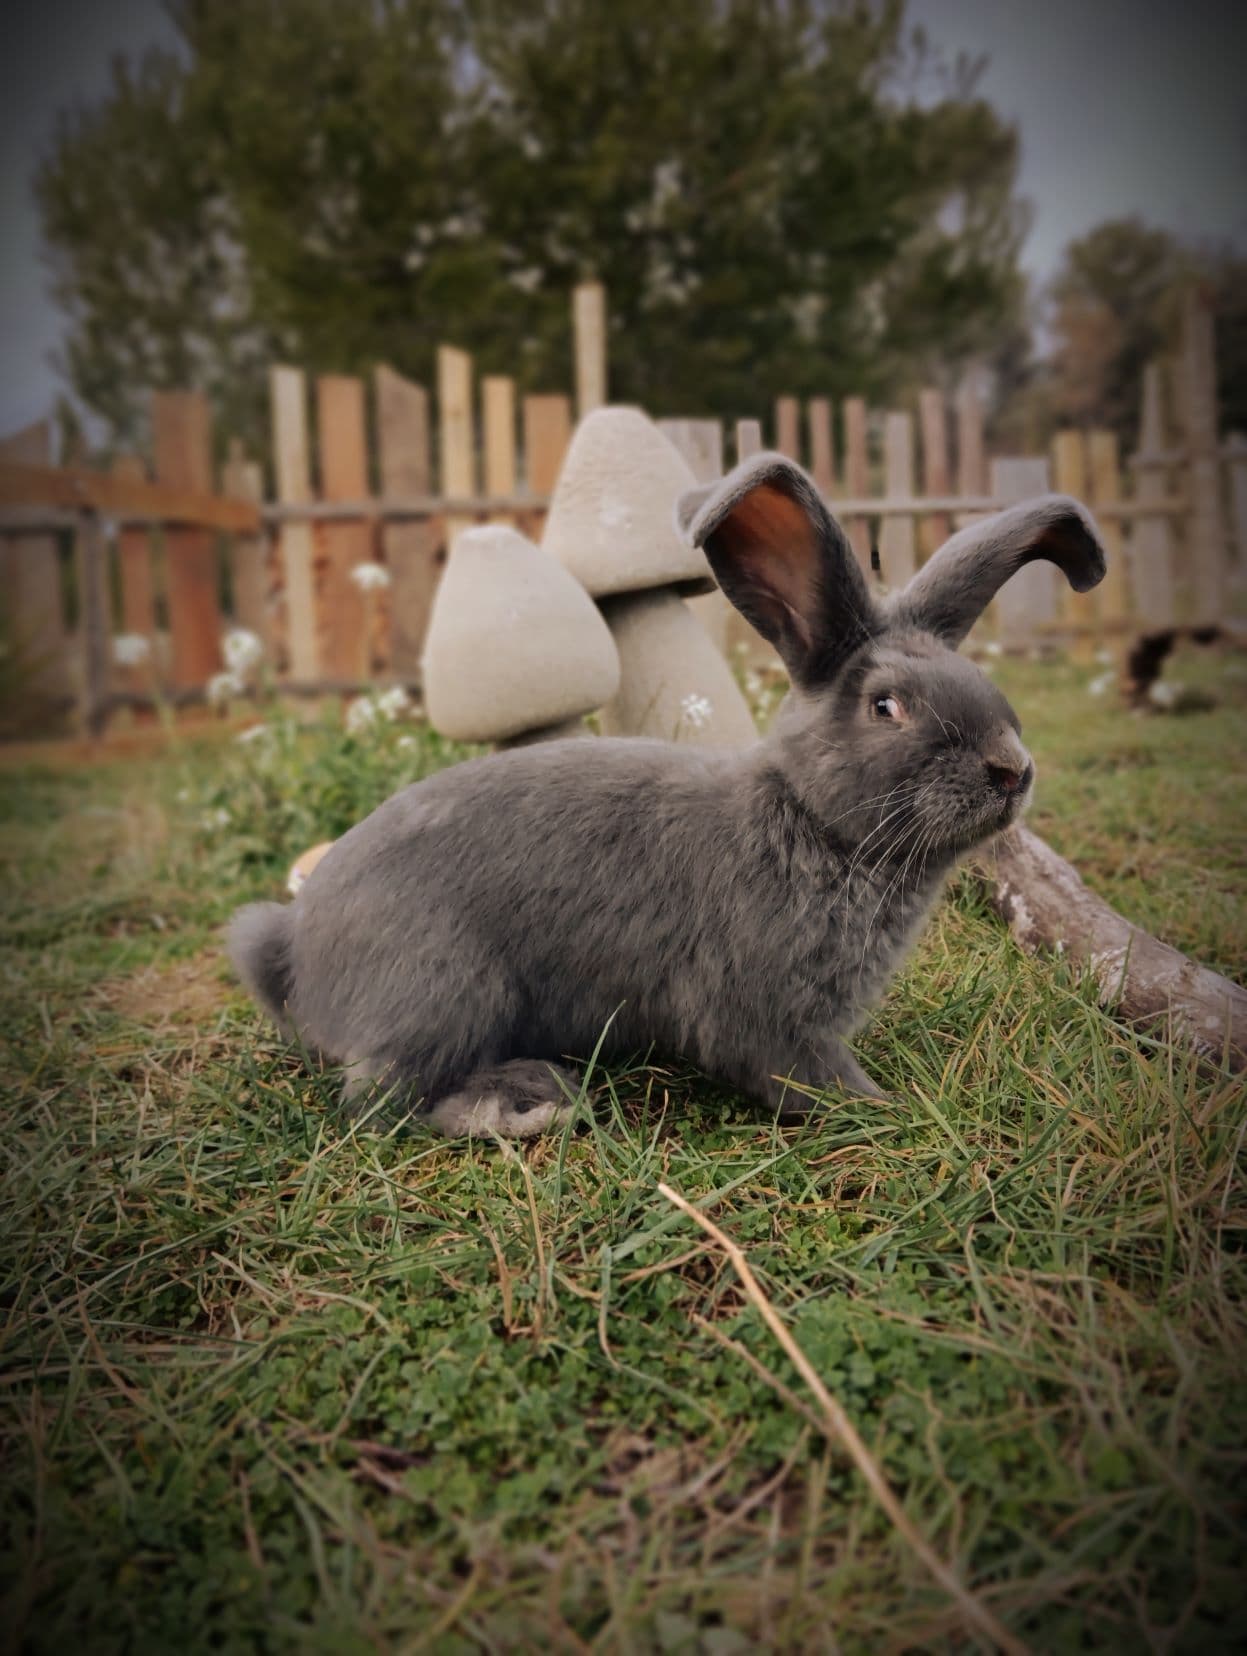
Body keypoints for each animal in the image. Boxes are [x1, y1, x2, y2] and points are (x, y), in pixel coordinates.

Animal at [229, 453, 1105, 1136]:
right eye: (886, 706)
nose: (1010, 769)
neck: (810, 821)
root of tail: (291, 951)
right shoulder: (766, 1012)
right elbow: (801, 1075)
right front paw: (884, 1107)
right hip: (446, 989)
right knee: (381, 1101)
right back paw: (521, 1104)